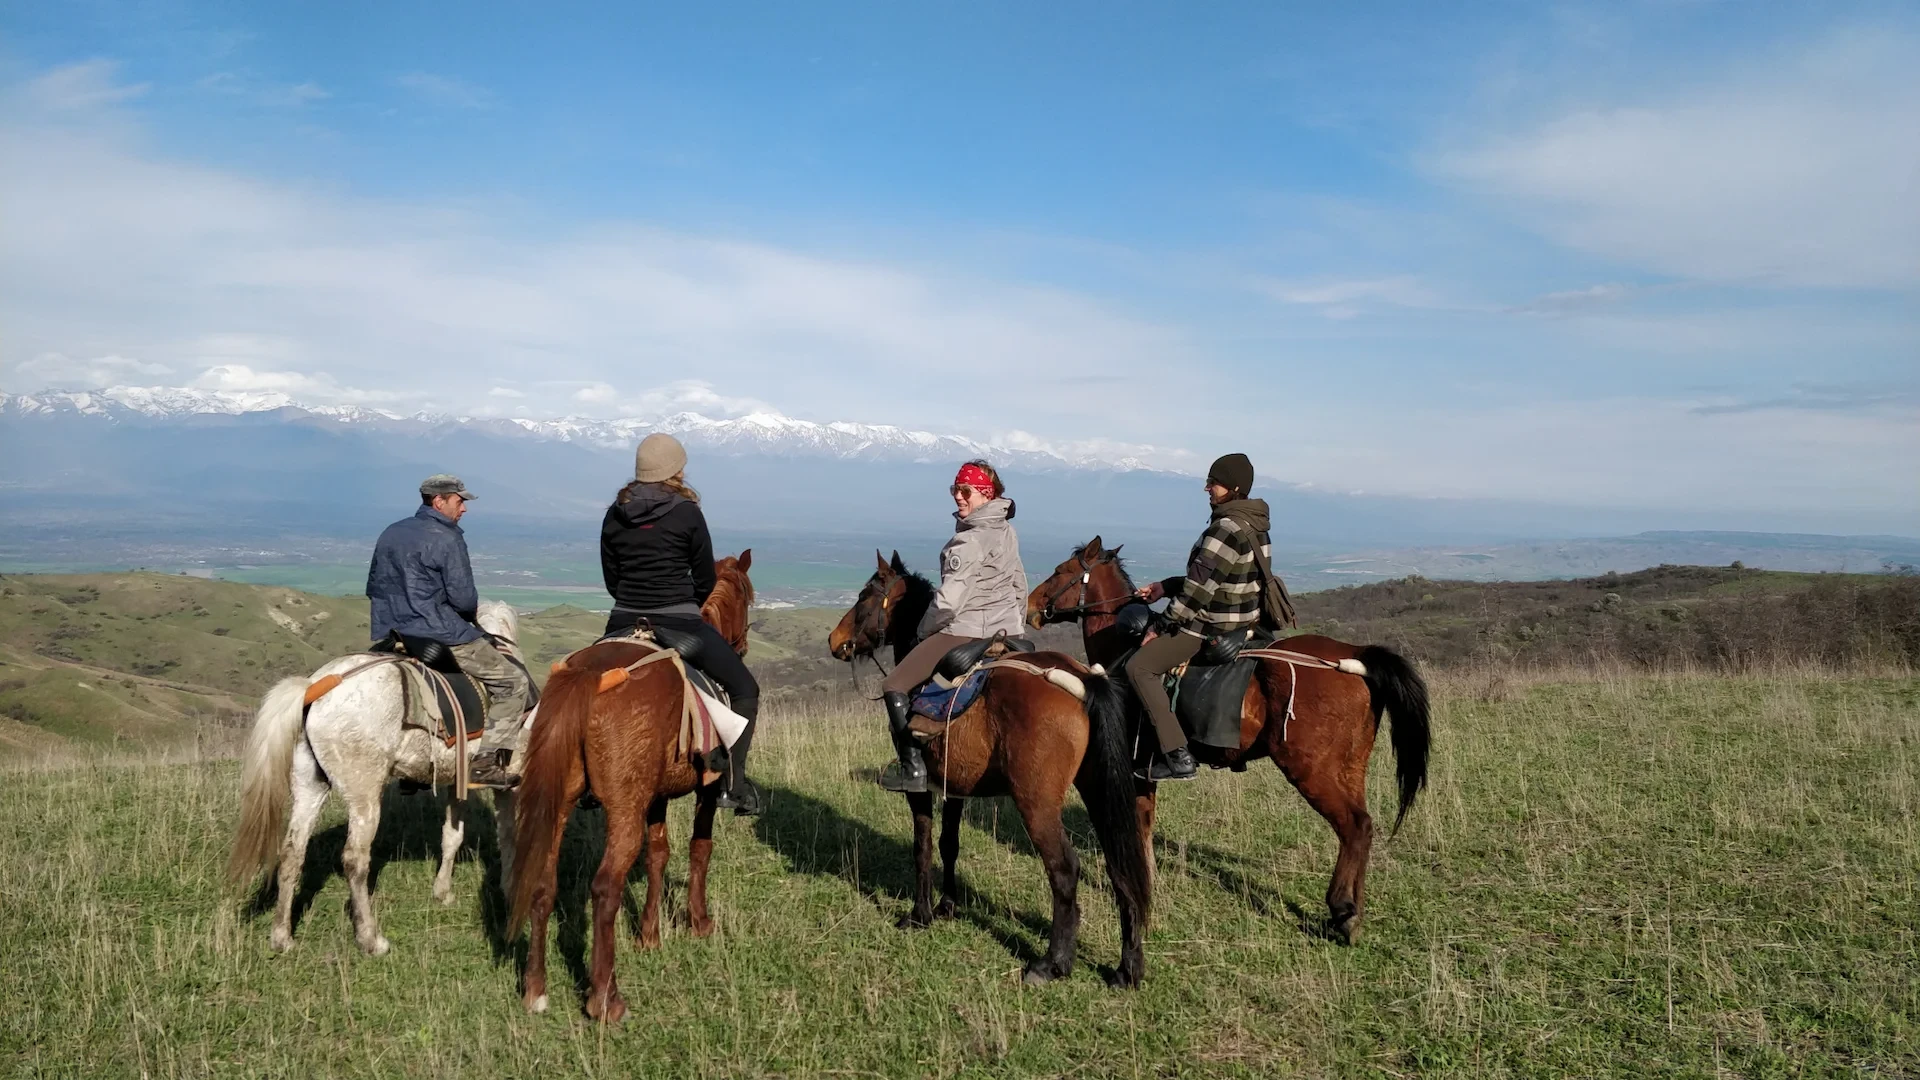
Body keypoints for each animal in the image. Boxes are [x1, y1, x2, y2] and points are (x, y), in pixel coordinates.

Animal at [233, 595, 533, 949]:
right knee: (355, 859)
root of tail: (317, 687)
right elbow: (510, 837)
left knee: (293, 853)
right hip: (364, 795)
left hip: (309, 785)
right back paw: (370, 938)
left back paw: (282, 936)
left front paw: (442, 892)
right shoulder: (510, 783)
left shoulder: (456, 780)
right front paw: (510, 891)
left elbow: (452, 836)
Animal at [510, 549, 756, 1014]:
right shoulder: (708, 788)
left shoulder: (655, 796)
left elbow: (658, 854)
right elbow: (700, 849)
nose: (744, 645)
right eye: (749, 597)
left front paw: (649, 935)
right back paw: (606, 999)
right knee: (606, 886)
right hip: (623, 807)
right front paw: (699, 923)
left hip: (561, 802)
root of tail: (588, 674)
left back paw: (535, 988)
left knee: (543, 886)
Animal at [817, 549, 1144, 980]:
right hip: (1098, 791)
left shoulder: (921, 788)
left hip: (1037, 803)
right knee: (1120, 865)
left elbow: (922, 846)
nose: (835, 641)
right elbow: (949, 844)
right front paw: (947, 906)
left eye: (864, 597)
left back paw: (1053, 962)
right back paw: (1129, 966)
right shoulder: (954, 785)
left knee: (1064, 869)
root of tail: (1085, 683)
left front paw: (920, 914)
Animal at [1036, 538, 1428, 941]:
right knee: (1364, 827)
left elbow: (1137, 823)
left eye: (1061, 571)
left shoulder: (1135, 767)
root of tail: (1354, 656)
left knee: (1354, 827)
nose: (1034, 605)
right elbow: (1145, 823)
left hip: (1312, 770)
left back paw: (1343, 911)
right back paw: (1352, 911)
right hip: (1349, 768)